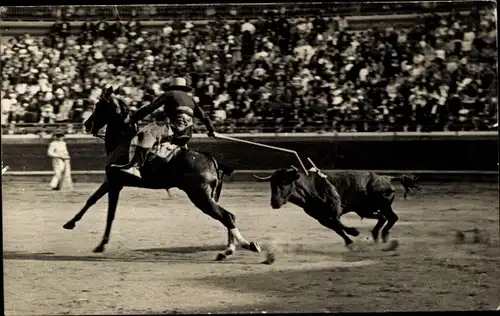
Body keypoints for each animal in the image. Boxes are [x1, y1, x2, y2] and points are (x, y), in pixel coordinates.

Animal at [61, 87, 262, 260]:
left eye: (98, 106)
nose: (86, 124)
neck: (122, 141)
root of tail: (210, 160)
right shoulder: (111, 181)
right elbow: (91, 200)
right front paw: (70, 223)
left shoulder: (114, 183)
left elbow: (110, 214)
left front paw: (101, 244)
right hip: (211, 196)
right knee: (229, 217)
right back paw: (229, 250)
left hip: (200, 197)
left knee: (226, 217)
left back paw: (247, 246)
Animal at [252, 165, 420, 247]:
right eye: (271, 184)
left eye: (284, 182)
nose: (275, 203)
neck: (310, 189)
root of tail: (386, 178)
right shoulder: (321, 218)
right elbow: (336, 228)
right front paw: (349, 241)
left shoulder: (335, 209)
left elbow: (338, 223)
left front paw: (354, 232)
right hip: (365, 209)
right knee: (384, 217)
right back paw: (377, 235)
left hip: (379, 206)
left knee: (391, 217)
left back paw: (382, 235)